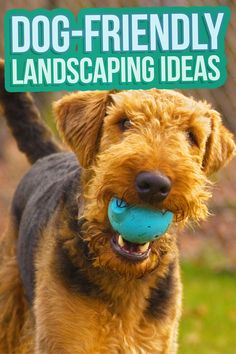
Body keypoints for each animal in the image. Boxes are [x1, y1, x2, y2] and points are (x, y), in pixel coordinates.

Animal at [0, 58, 235, 354]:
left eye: (191, 135)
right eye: (124, 121)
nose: (154, 184)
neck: (125, 280)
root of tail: (52, 154)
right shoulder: (63, 342)